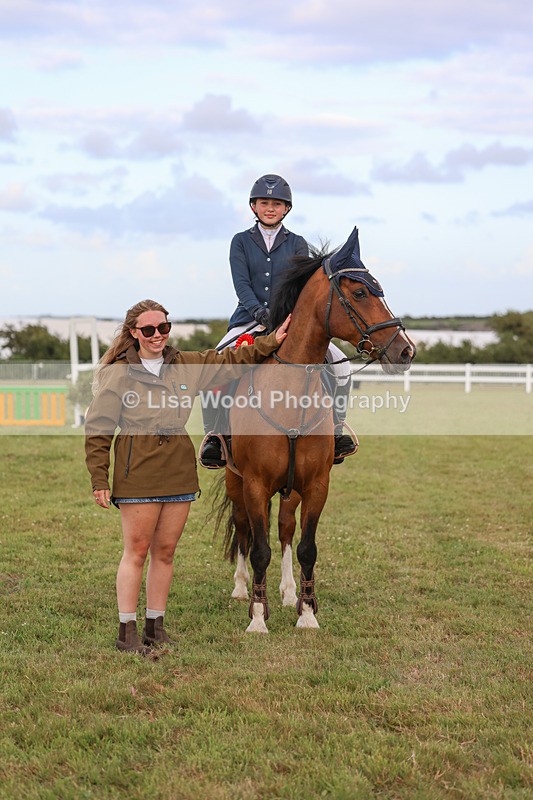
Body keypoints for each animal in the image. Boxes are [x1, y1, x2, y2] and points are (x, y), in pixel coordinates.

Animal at [214, 226, 415, 632]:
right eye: (360, 293)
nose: (405, 351)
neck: (290, 395)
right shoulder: (254, 483)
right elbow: (259, 550)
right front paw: (257, 618)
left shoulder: (317, 484)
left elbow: (306, 548)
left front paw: (306, 612)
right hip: (234, 478)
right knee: (243, 528)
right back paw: (242, 588)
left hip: (291, 488)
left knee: (285, 529)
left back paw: (288, 591)